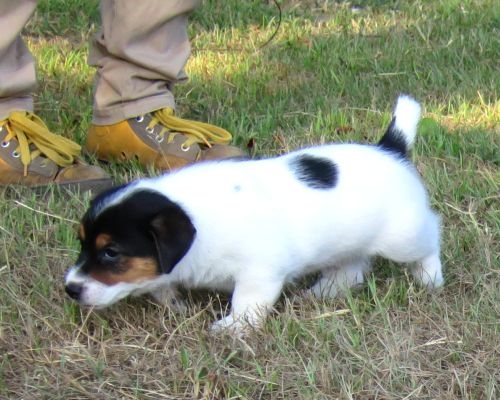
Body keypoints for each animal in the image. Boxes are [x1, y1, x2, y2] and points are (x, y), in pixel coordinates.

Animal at [65, 95, 443, 332]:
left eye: (111, 252)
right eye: (82, 244)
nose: (70, 289)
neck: (198, 221)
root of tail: (390, 148)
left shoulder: (258, 274)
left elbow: (246, 304)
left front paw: (232, 328)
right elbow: (163, 286)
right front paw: (173, 305)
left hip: (404, 237)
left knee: (430, 238)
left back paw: (430, 278)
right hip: (348, 241)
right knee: (350, 268)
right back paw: (324, 292)